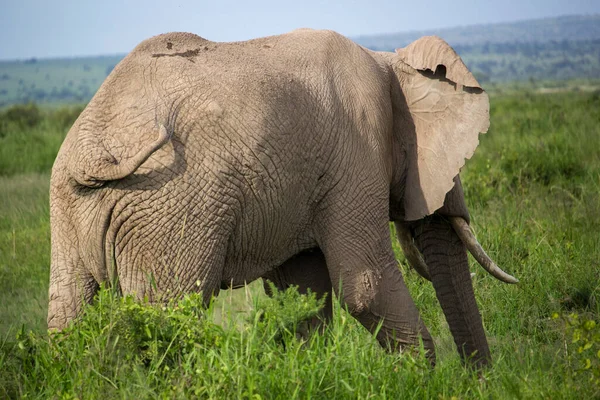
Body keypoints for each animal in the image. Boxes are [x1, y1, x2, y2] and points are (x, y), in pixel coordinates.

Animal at [47, 28, 516, 368]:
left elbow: (302, 294)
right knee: (169, 316)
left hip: (70, 205)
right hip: (168, 207)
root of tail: (92, 153)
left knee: (67, 314)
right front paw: (421, 381)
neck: (388, 62)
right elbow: (364, 284)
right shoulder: (358, 150)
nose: (478, 380)